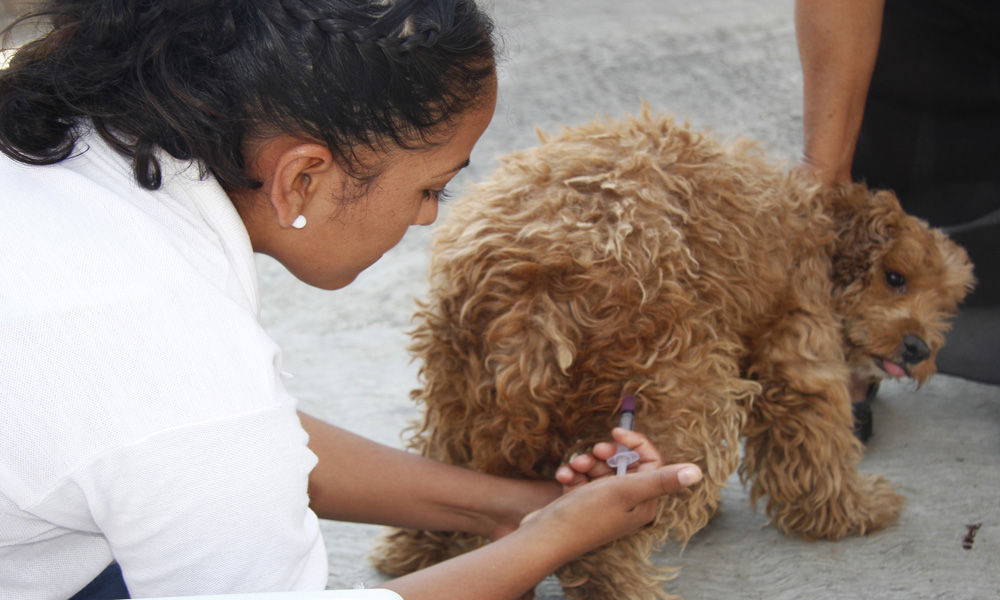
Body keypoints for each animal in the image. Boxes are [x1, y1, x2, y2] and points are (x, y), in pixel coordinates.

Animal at [372, 108, 972, 600]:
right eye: (895, 278)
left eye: (948, 303)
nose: (919, 348)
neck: (817, 230)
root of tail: (537, 287)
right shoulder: (798, 351)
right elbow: (816, 452)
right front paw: (855, 513)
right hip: (680, 390)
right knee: (598, 548)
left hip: (460, 389)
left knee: (443, 471)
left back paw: (415, 553)